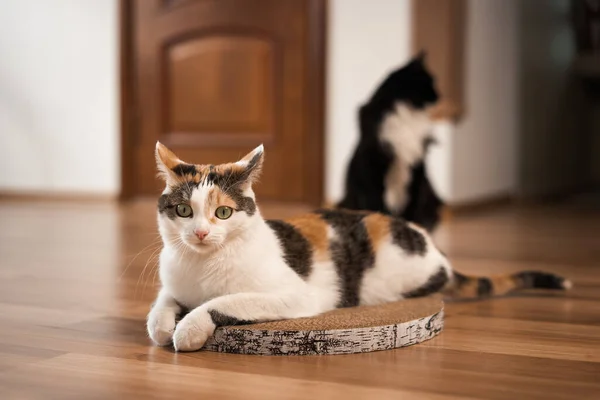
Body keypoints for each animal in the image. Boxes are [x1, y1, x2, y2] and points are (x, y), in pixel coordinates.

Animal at [148, 142, 568, 352]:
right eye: (184, 210)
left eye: (223, 212)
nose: (201, 234)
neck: (203, 265)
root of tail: (431, 245)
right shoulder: (173, 284)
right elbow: (160, 308)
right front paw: (165, 324)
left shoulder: (295, 295)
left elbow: (222, 302)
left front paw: (188, 330)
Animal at [340, 52, 442, 231]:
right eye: (431, 82)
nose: (440, 96)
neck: (407, 116)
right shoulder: (374, 162)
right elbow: (376, 201)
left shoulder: (417, 165)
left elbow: (412, 204)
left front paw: (410, 225)